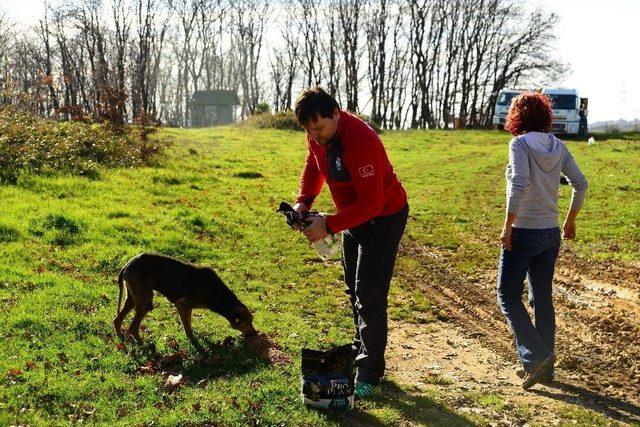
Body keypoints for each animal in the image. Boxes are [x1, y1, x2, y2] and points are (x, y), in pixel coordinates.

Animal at [114, 254, 256, 352]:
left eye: (252, 321)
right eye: (246, 323)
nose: (255, 334)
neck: (216, 293)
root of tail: (127, 265)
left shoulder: (188, 308)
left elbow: (188, 323)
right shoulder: (182, 305)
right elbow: (187, 328)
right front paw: (195, 343)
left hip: (132, 298)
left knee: (117, 320)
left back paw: (121, 338)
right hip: (145, 302)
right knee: (132, 328)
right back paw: (144, 345)